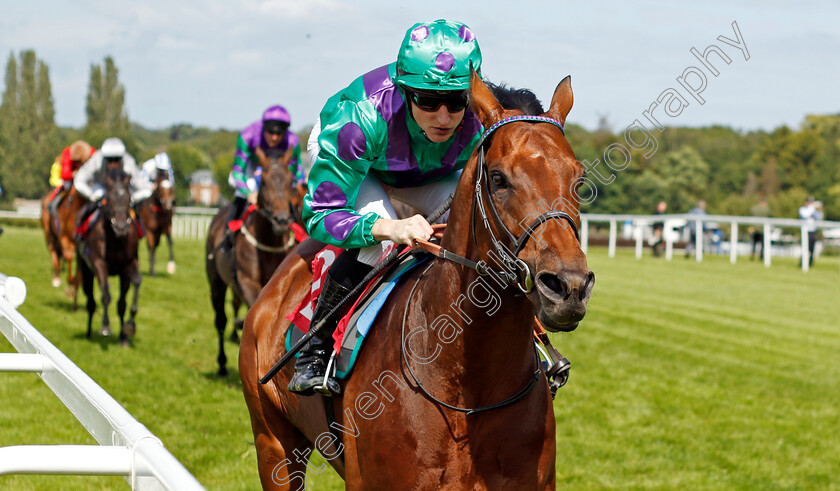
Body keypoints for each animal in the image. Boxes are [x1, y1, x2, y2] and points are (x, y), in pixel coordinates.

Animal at [76, 165, 143, 346]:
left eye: (128, 198)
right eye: (109, 199)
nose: (121, 227)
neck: (115, 239)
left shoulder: (129, 265)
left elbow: (128, 295)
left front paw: (127, 330)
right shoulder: (99, 263)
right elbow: (105, 293)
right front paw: (105, 326)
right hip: (85, 269)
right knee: (90, 301)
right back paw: (88, 332)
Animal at [205, 146, 306, 376]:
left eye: (290, 181)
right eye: (265, 182)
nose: (282, 220)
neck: (267, 244)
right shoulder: (246, 280)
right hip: (216, 281)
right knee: (220, 320)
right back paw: (222, 362)